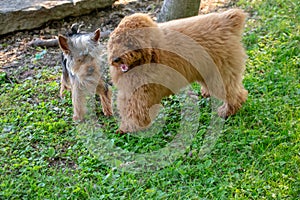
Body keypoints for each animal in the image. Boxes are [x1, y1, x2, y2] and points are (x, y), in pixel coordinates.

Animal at [108, 8, 248, 133]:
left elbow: (136, 110)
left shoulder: (142, 93)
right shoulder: (129, 90)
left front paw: (129, 127)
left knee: (234, 94)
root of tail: (226, 21)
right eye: (117, 41)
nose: (116, 59)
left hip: (221, 71)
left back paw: (227, 111)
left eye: (130, 42)